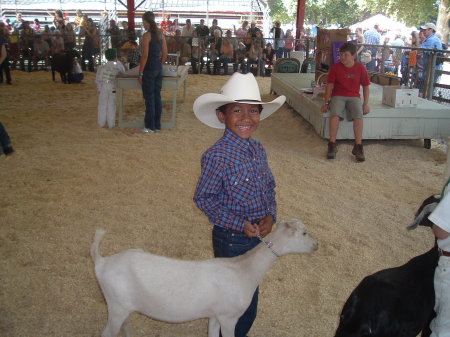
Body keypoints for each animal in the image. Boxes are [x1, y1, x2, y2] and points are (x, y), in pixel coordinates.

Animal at [90, 218, 316, 336]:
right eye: (304, 233)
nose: (317, 245)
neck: (244, 269)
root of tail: (102, 262)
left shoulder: (215, 315)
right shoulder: (229, 317)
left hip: (123, 306)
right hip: (116, 306)